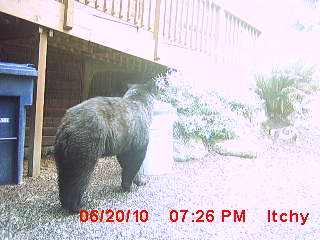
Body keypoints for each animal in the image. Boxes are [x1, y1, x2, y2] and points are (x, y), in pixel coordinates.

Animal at [54, 83, 154, 213]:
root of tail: (67, 125)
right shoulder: (137, 136)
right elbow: (134, 162)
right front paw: (130, 185)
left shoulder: (124, 141)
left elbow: (125, 161)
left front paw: (140, 180)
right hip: (86, 143)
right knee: (79, 175)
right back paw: (78, 206)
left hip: (64, 150)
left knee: (64, 174)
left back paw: (64, 202)